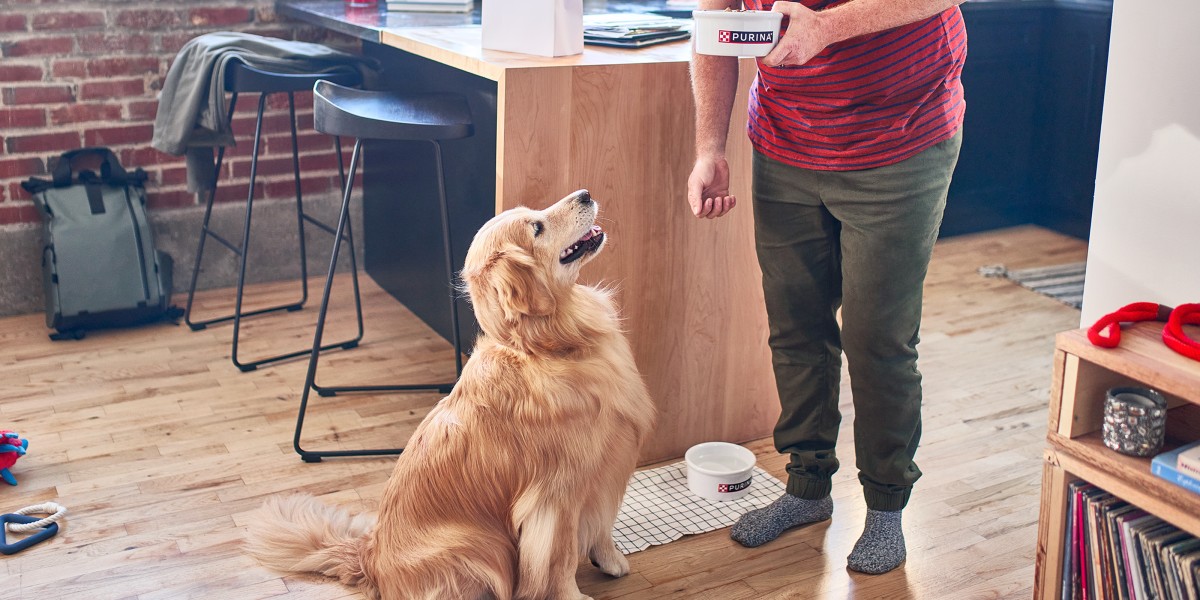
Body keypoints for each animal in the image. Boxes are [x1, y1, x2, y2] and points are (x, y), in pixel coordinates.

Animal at [244, 190, 657, 600]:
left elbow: (602, 524)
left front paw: (611, 559)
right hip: (479, 545)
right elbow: (560, 559)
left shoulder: (606, 470)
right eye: (536, 227)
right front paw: (573, 595)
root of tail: (369, 558)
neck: (545, 347)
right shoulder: (555, 498)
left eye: (535, 212)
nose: (585, 194)